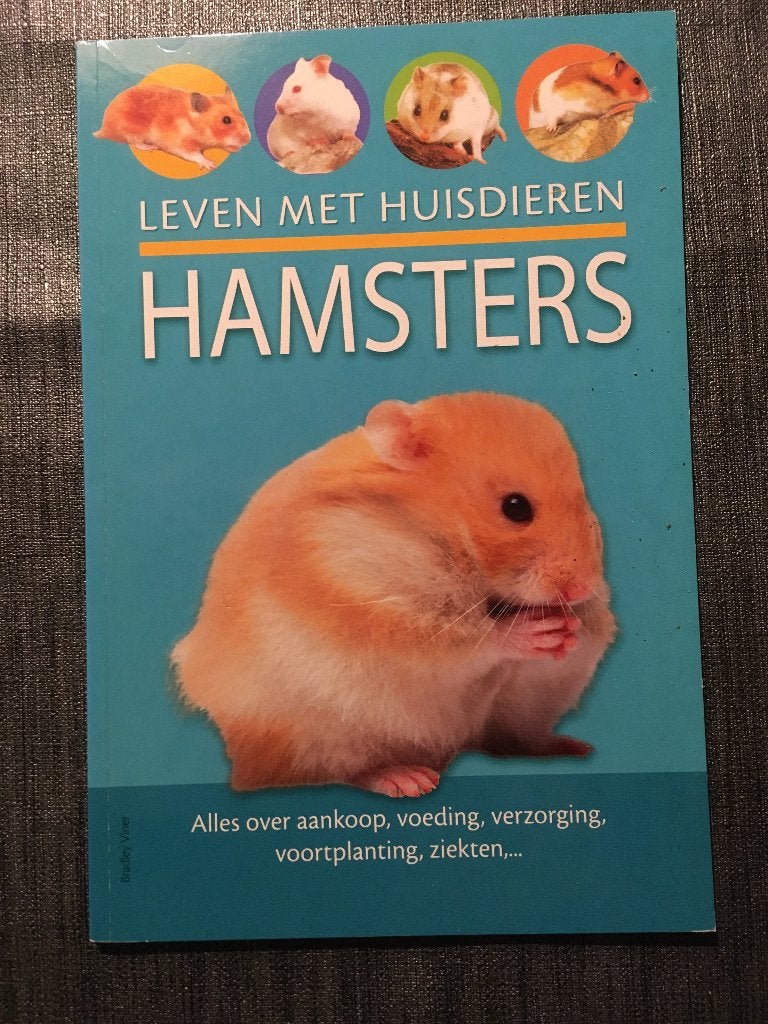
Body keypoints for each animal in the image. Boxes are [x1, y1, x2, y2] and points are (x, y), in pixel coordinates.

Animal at [93, 83, 252, 171]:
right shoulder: (179, 144)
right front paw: (211, 164)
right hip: (133, 130)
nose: (248, 140)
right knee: (135, 143)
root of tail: (103, 128)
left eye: (242, 115)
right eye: (226, 120)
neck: (193, 124)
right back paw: (150, 147)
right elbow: (194, 154)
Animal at [172, 392, 616, 799]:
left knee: (510, 740)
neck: (444, 532)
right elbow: (474, 639)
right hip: (322, 732)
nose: (581, 587)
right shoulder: (388, 607)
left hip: (524, 709)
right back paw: (409, 780)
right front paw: (536, 632)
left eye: (585, 505)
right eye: (515, 507)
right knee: (339, 770)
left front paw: (573, 630)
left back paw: (572, 747)